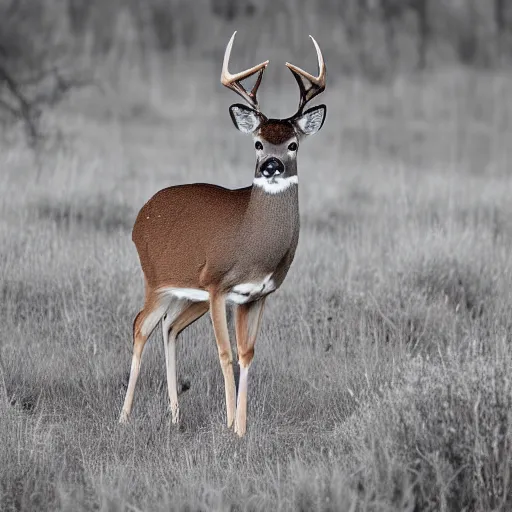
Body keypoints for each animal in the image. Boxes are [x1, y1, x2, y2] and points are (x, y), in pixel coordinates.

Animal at [119, 31, 326, 436]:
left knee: (169, 327)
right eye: (258, 142)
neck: (253, 244)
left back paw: (175, 416)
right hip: (157, 279)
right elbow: (225, 353)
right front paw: (231, 425)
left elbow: (247, 353)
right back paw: (123, 417)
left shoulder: (257, 295)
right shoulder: (217, 285)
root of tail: (142, 214)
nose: (271, 166)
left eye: (293, 144)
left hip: (186, 293)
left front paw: (242, 429)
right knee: (140, 325)